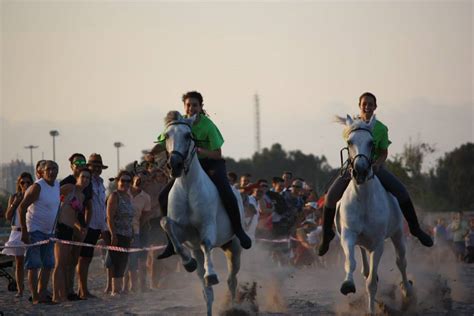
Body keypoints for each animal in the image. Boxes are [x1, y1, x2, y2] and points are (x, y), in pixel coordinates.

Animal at [160, 111, 243, 316]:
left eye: (188, 136)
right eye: (167, 136)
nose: (174, 165)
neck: (188, 188)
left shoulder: (207, 226)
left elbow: (207, 243)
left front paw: (211, 274)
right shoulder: (185, 234)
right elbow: (166, 224)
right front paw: (187, 263)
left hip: (234, 247)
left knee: (231, 281)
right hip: (198, 250)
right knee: (208, 292)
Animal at [336, 115, 412, 314]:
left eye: (372, 143)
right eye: (349, 141)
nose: (360, 170)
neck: (363, 199)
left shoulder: (378, 244)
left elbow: (371, 283)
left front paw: (370, 311)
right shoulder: (348, 235)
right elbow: (351, 263)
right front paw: (347, 284)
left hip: (398, 234)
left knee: (401, 262)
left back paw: (407, 292)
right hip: (363, 242)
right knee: (366, 268)